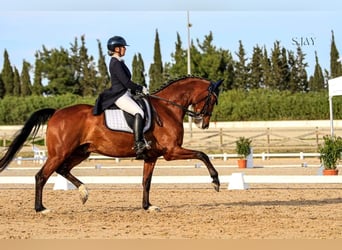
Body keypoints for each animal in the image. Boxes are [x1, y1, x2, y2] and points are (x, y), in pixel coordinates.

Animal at [0, 76, 222, 213]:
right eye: (212, 99)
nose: (203, 123)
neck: (167, 108)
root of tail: (56, 113)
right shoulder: (171, 152)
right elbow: (202, 154)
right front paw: (215, 182)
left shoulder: (151, 156)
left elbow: (146, 182)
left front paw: (148, 206)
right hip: (60, 153)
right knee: (41, 176)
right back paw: (42, 209)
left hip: (80, 152)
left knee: (62, 170)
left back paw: (83, 192)